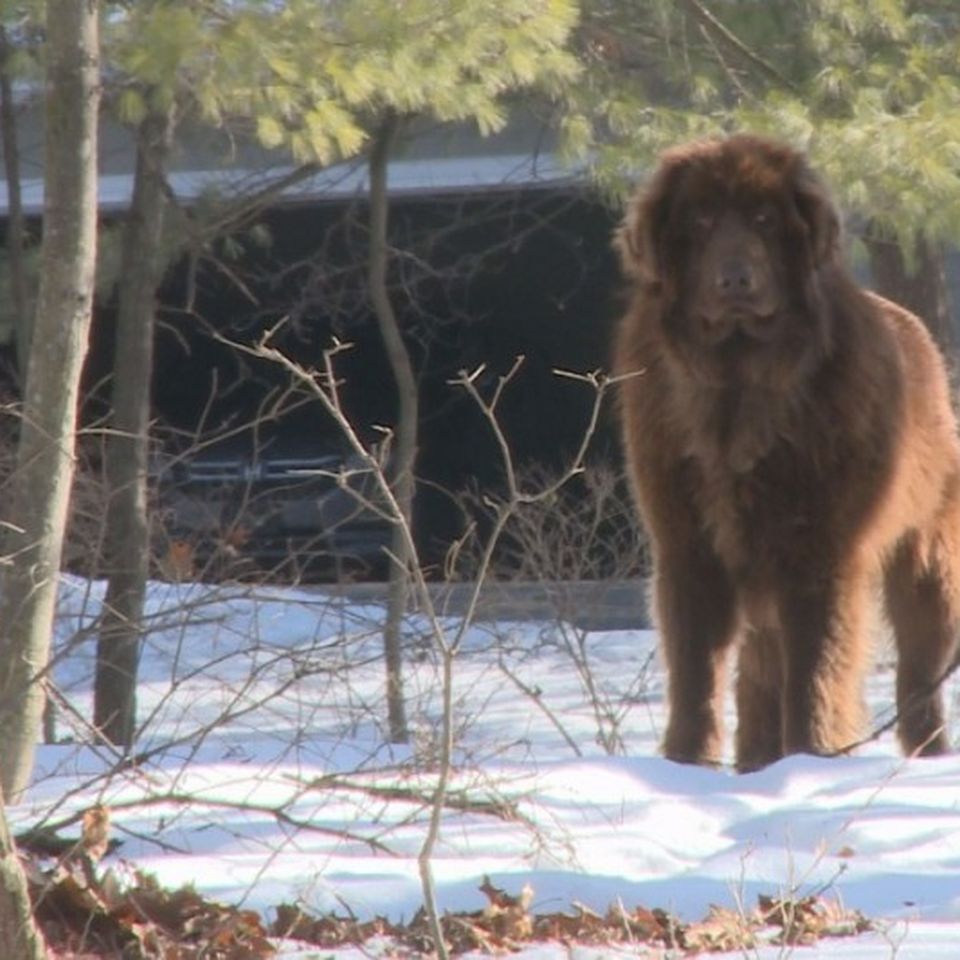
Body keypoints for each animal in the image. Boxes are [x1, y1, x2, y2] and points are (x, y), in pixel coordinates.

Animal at [616, 131, 960, 768]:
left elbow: (816, 666)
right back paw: (757, 761)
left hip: (928, 559)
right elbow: (695, 671)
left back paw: (925, 756)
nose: (735, 280)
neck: (740, 385)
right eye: (700, 219)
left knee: (919, 670)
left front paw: (810, 757)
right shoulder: (687, 546)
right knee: (758, 678)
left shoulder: (818, 548)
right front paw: (689, 765)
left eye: (764, 219)